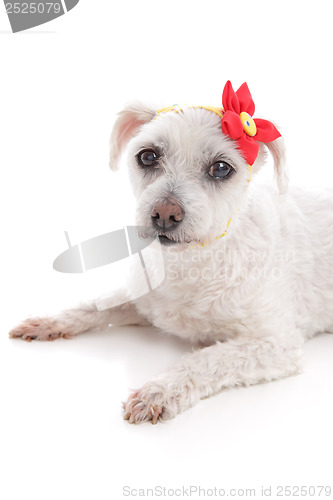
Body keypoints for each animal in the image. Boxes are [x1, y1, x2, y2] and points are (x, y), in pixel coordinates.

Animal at [9, 82, 332, 426]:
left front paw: (160, 391)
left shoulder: (275, 344)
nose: (165, 213)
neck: (193, 261)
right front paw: (49, 322)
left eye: (221, 168)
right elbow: (93, 306)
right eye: (148, 156)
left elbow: (207, 359)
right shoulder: (143, 300)